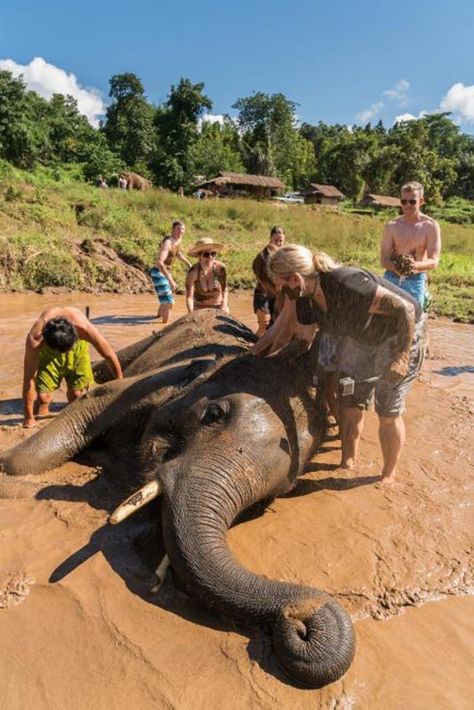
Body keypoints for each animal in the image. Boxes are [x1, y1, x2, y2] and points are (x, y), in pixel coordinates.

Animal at [1, 312, 354, 688]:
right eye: (213, 413)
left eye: (271, 498)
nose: (302, 619)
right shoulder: (164, 380)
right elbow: (94, 401)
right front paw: (11, 474)